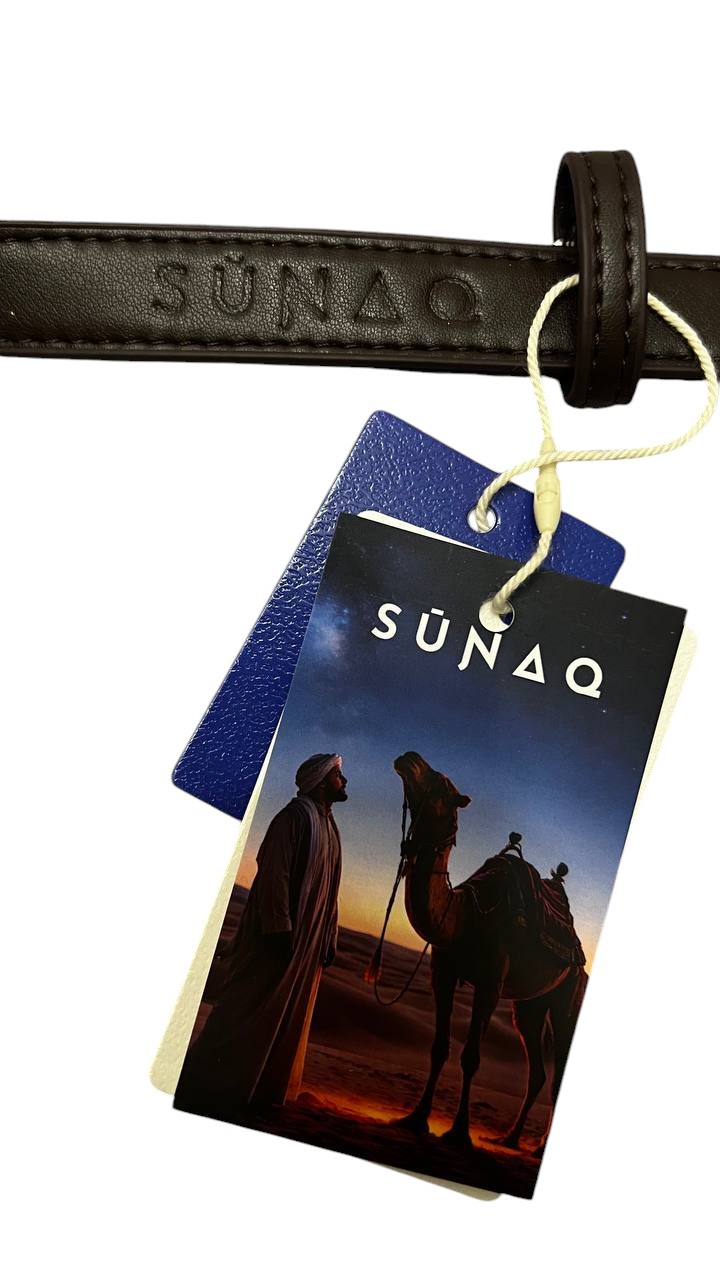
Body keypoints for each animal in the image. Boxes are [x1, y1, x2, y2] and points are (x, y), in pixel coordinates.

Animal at [390, 751, 587, 1156]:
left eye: (442, 783)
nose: (409, 757)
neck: (465, 913)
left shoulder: (490, 984)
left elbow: (471, 1057)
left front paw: (459, 1134)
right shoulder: (443, 972)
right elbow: (438, 1048)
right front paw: (416, 1120)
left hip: (568, 995)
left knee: (558, 1067)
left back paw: (537, 1147)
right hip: (529, 1005)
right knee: (538, 1071)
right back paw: (508, 1138)